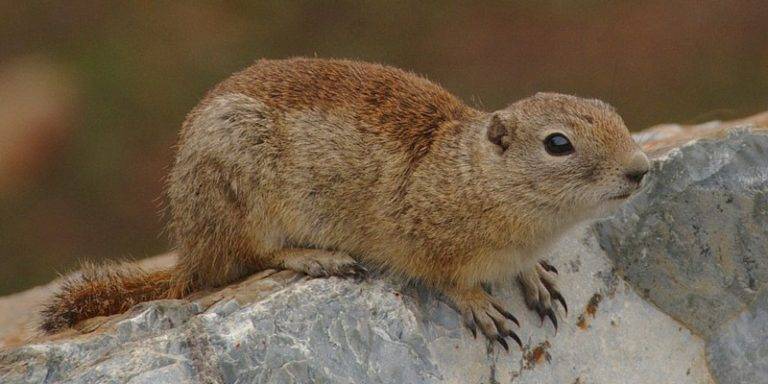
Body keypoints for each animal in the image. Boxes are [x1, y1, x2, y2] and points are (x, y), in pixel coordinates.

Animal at [40, 57, 648, 348]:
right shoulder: (423, 241)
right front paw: (481, 305)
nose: (641, 169)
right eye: (558, 144)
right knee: (248, 259)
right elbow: (448, 279)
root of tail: (188, 250)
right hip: (240, 201)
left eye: (614, 113)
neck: (475, 174)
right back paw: (318, 258)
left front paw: (535, 277)